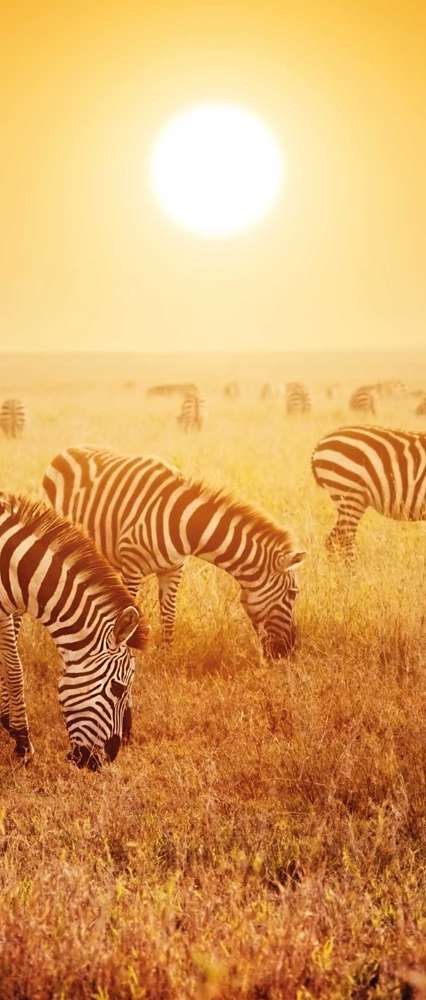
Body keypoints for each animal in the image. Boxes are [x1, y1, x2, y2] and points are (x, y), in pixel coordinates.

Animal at [0, 496, 148, 768]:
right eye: (118, 689)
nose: (106, 760)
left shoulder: (4, 610)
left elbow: (10, 665)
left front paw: (13, 730)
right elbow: (14, 670)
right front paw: (23, 744)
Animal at [43, 450, 306, 660]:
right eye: (293, 594)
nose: (290, 651)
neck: (184, 524)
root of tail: (67, 450)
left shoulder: (173, 568)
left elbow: (169, 613)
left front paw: (167, 655)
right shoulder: (132, 567)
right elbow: (130, 612)